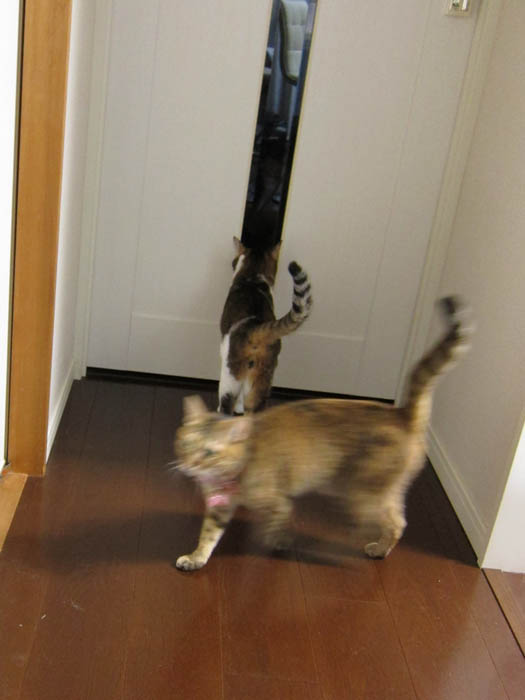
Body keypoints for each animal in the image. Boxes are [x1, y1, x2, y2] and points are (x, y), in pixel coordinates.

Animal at [174, 296, 473, 571]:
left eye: (209, 452)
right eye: (187, 445)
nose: (189, 465)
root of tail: (401, 413)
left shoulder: (277, 500)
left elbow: (279, 521)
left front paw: (278, 541)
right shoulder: (219, 509)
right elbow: (208, 536)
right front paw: (196, 558)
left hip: (365, 493)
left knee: (394, 522)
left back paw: (372, 548)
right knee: (397, 519)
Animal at [218, 236, 312, 414]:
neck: (253, 277)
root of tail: (257, 328)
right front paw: (240, 409)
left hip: (231, 373)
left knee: (225, 406)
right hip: (264, 375)